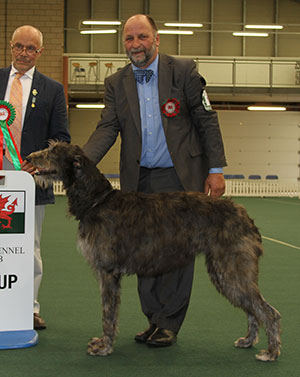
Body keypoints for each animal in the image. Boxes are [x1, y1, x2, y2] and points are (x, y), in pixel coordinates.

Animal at [26, 140, 282, 358]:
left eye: (52, 151)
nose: (28, 157)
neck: (97, 199)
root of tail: (245, 216)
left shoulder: (108, 271)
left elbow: (108, 313)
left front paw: (104, 346)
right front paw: (103, 342)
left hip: (232, 268)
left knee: (268, 311)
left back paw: (271, 352)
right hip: (224, 271)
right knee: (252, 309)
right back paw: (248, 341)